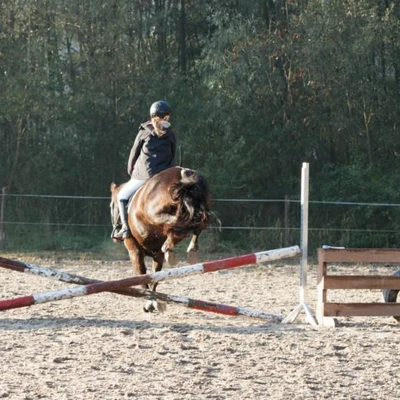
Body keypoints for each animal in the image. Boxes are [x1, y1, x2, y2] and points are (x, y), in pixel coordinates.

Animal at [108, 166, 209, 312]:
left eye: (111, 206)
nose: (115, 236)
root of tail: (183, 172)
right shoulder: (157, 255)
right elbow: (155, 276)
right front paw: (153, 301)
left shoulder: (134, 251)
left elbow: (142, 276)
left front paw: (149, 303)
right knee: (198, 223)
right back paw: (188, 250)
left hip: (156, 214)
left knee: (175, 222)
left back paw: (172, 247)